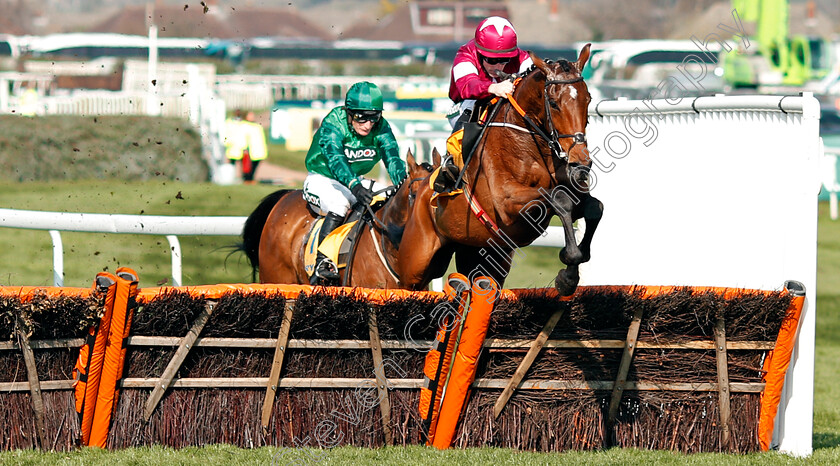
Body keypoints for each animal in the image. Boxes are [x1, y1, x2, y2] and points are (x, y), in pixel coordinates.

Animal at [398, 46, 600, 294]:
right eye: (553, 103)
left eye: (588, 99)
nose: (580, 161)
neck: (528, 140)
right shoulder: (506, 201)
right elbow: (559, 198)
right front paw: (568, 264)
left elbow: (594, 207)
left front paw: (571, 270)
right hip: (414, 265)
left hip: (479, 253)